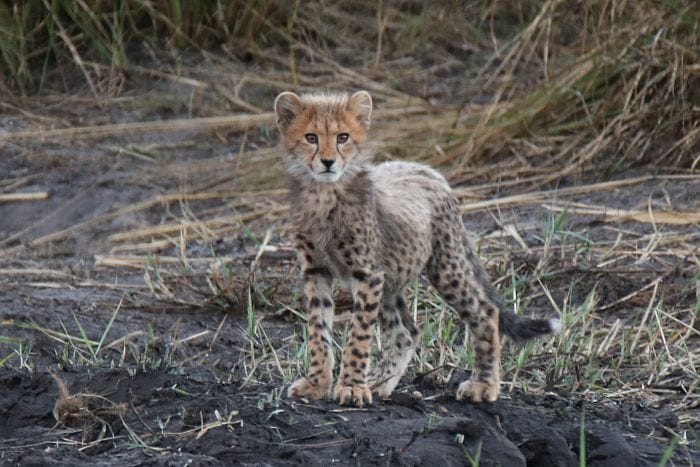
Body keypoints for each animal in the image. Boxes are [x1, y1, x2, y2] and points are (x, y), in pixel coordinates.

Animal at [274, 90, 560, 407]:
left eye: (343, 137)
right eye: (311, 137)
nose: (327, 162)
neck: (325, 193)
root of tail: (426, 169)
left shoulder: (367, 273)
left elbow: (359, 334)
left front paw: (351, 386)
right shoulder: (317, 270)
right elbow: (318, 329)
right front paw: (317, 383)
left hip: (444, 266)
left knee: (485, 311)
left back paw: (483, 385)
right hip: (392, 277)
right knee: (406, 332)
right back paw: (380, 382)